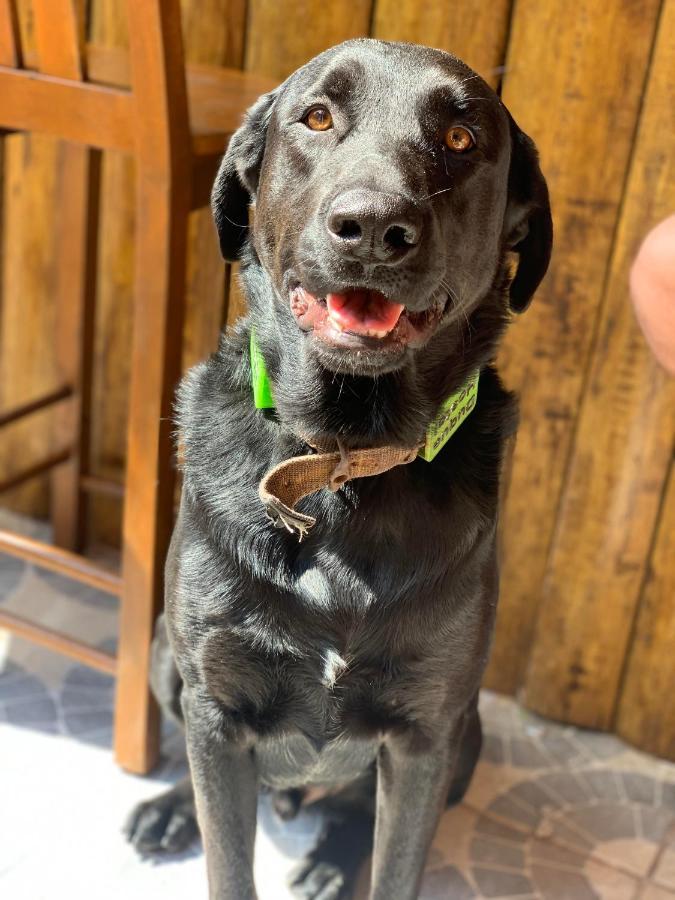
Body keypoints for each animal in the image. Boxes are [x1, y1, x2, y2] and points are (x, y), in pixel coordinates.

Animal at [124, 38, 552, 896]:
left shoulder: (427, 732)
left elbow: (397, 867)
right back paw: (170, 809)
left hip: (471, 731)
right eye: (316, 117)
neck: (341, 461)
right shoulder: (214, 708)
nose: (372, 225)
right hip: (162, 654)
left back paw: (328, 859)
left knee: (356, 809)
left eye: (460, 138)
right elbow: (227, 861)